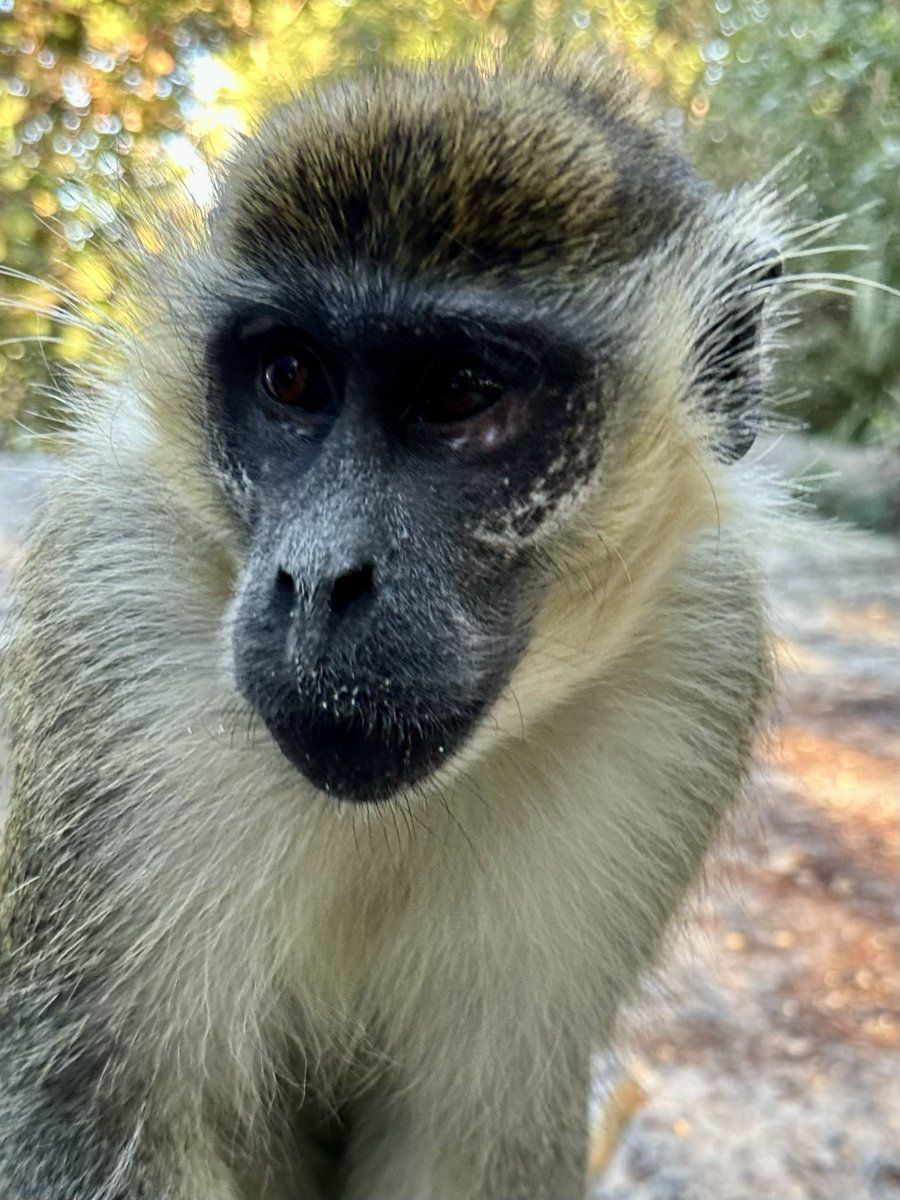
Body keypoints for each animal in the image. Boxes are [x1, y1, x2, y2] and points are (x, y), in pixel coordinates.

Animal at [0, 55, 783, 1200]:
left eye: (461, 392)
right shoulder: (110, 607)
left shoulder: (697, 652)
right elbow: (75, 1118)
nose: (320, 578)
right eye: (290, 377)